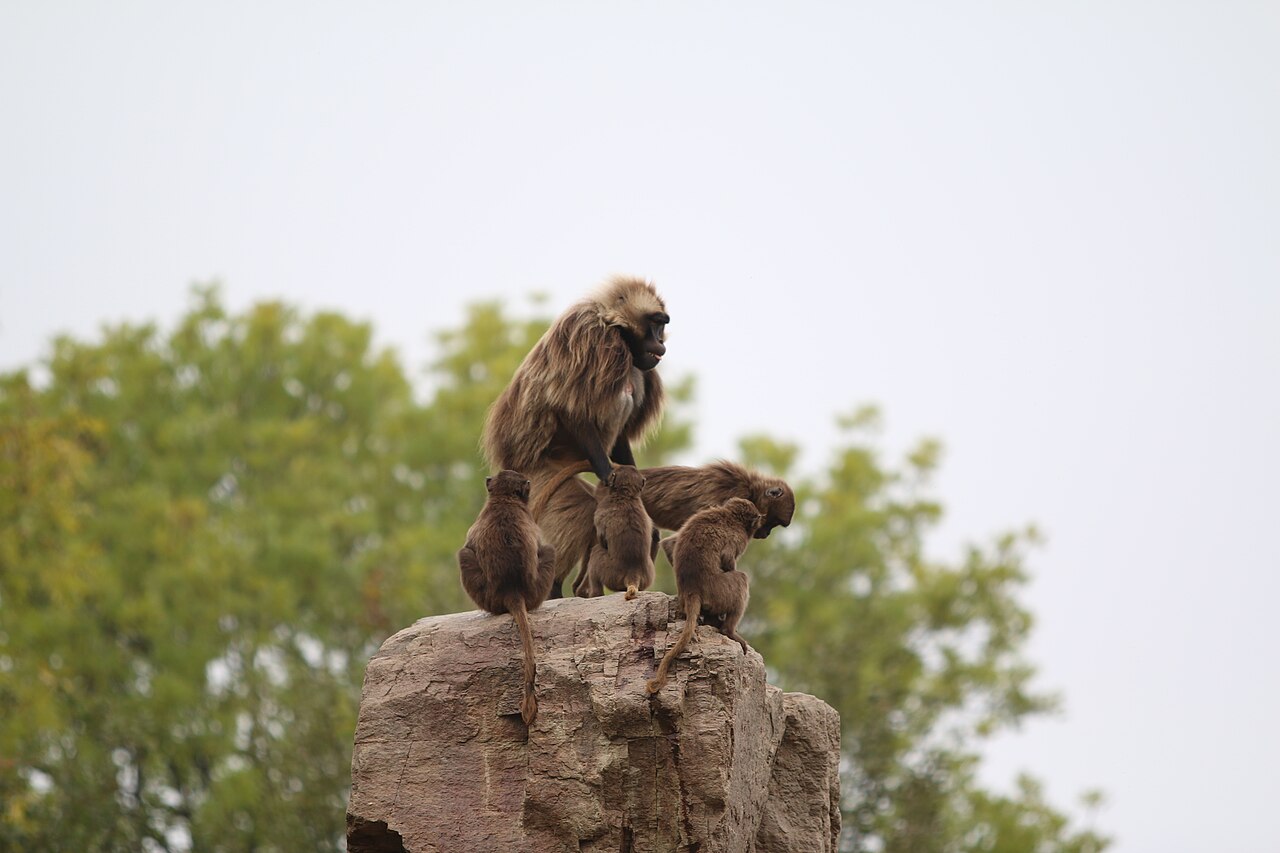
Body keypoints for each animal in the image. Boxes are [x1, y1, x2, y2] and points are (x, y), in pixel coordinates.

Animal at [577, 464, 659, 599]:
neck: (626, 494)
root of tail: (633, 572)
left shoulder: (601, 508)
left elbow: (602, 539)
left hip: (611, 574)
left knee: (596, 552)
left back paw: (595, 594)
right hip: (648, 575)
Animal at [645, 497, 764, 695]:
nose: (759, 525)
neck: (730, 515)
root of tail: (691, 590)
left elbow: (670, 545)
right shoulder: (737, 538)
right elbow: (728, 560)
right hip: (720, 591)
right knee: (741, 579)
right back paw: (728, 631)